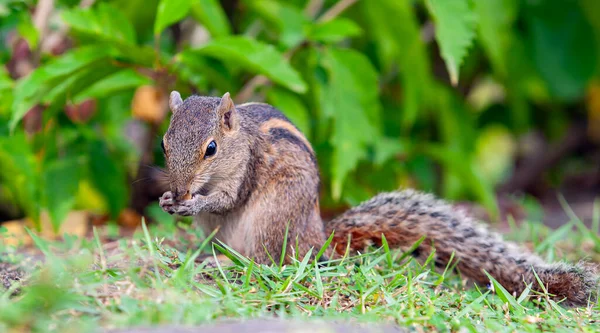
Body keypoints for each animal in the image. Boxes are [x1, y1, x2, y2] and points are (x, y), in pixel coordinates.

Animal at [157, 91, 596, 306]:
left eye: (211, 148)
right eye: (163, 143)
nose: (179, 190)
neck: (239, 140)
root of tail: (317, 239)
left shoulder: (246, 170)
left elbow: (227, 199)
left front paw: (194, 202)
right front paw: (166, 200)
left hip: (272, 220)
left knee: (272, 260)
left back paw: (227, 262)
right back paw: (202, 255)